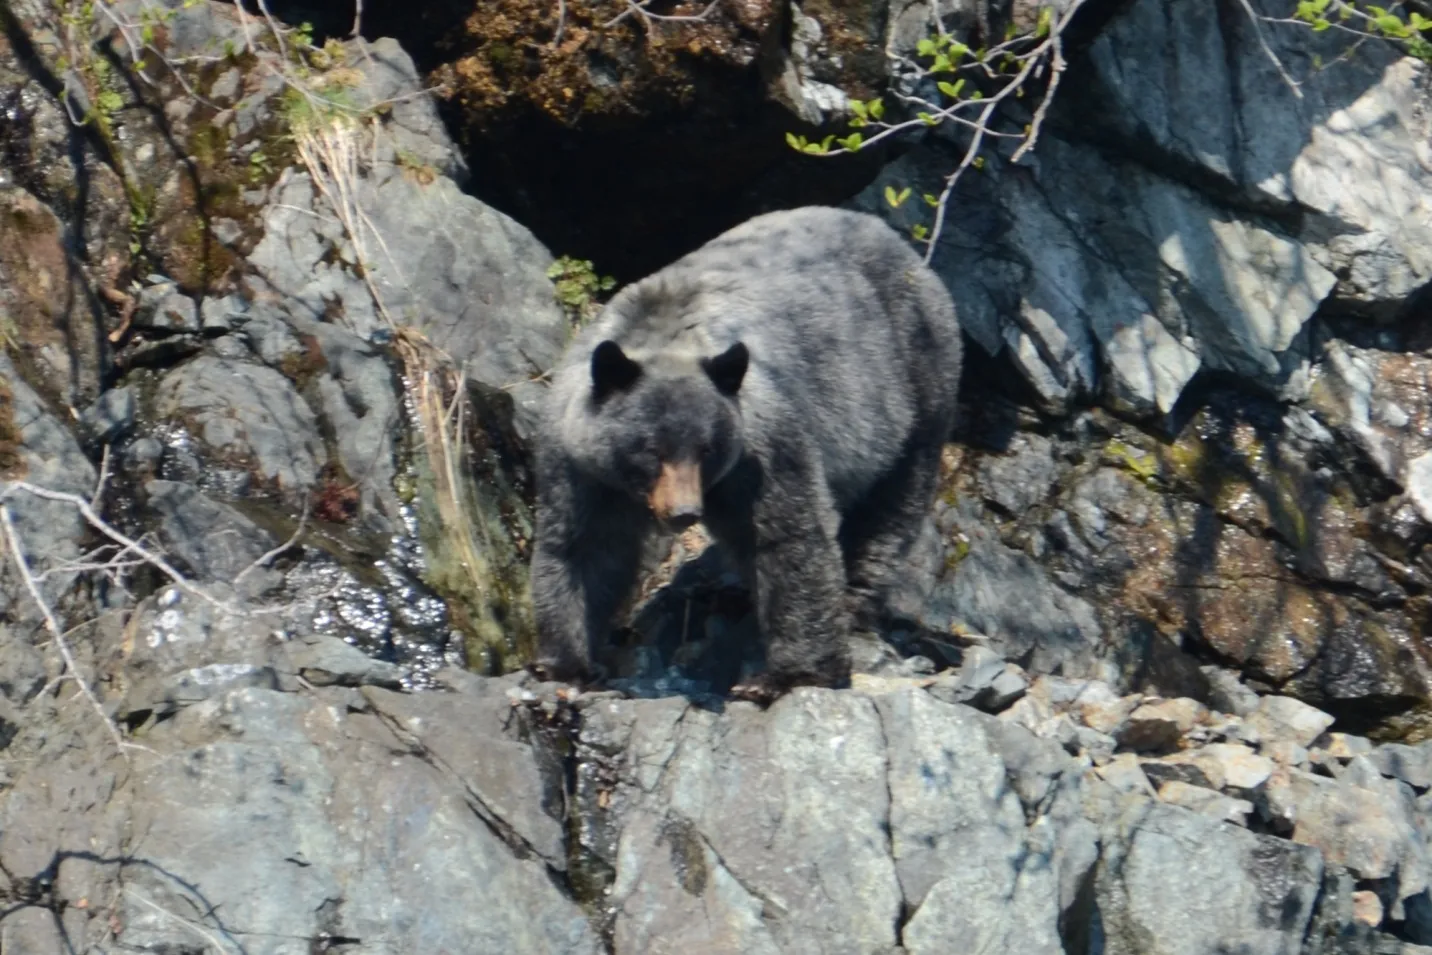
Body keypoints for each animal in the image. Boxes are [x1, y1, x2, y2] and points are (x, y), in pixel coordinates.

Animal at [526, 207, 962, 701]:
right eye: (651, 449)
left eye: (707, 448)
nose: (684, 511)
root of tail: (906, 250)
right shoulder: (579, 464)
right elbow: (585, 545)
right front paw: (567, 663)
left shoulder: (762, 441)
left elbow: (787, 536)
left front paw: (788, 676)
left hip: (915, 386)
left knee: (891, 503)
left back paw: (853, 599)